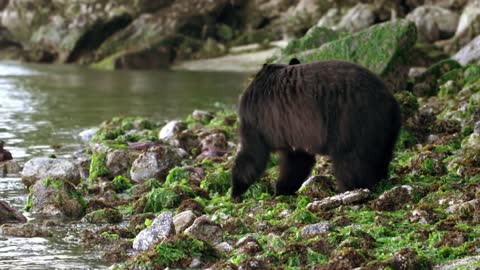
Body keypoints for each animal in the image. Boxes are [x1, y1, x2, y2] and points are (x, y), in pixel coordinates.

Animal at [232, 58, 402, 200]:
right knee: (380, 156)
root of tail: (388, 100)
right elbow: (297, 160)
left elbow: (252, 154)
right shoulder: (294, 131)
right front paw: (282, 190)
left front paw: (236, 190)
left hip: (351, 121)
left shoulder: (255, 117)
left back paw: (349, 189)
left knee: (350, 160)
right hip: (385, 129)